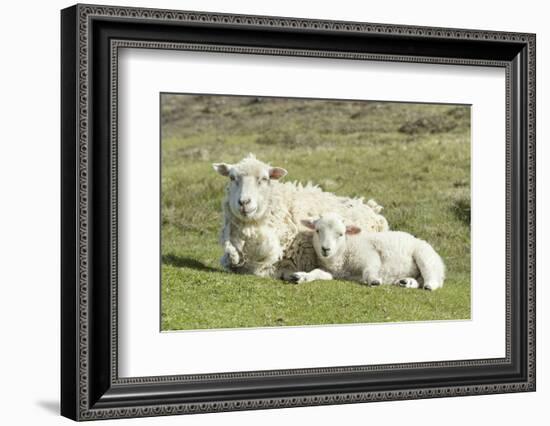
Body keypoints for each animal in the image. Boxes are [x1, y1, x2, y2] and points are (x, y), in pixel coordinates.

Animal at [296, 212, 446, 290]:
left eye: (341, 234)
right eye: (317, 231)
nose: (326, 249)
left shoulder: (369, 254)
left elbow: (369, 270)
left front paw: (373, 280)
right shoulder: (332, 272)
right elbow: (317, 272)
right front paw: (303, 276)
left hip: (424, 256)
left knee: (432, 277)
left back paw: (429, 285)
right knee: (419, 280)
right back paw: (406, 282)